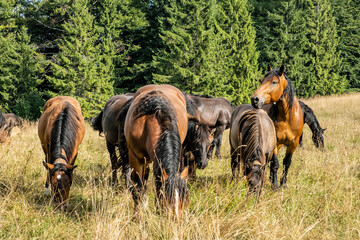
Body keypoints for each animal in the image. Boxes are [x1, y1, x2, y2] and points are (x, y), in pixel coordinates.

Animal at [122, 85, 190, 217]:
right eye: (168, 200)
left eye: (185, 202)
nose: (176, 220)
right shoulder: (136, 159)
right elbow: (138, 189)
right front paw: (137, 216)